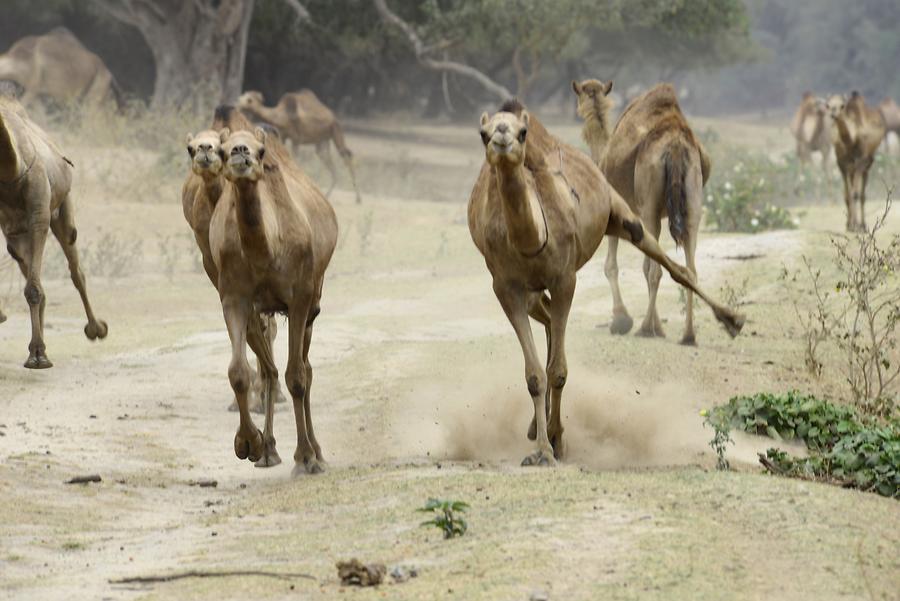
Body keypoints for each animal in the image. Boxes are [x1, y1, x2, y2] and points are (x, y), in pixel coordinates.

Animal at [0, 96, 107, 368]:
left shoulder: (40, 215)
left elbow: (33, 288)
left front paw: (38, 356)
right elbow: (33, 286)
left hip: (63, 208)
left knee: (76, 270)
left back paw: (96, 329)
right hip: (16, 236)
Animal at [207, 118, 338, 474]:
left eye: (261, 151)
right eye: (222, 150)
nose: (240, 152)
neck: (268, 251)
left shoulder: (300, 297)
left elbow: (297, 377)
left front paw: (305, 458)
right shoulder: (233, 298)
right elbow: (238, 372)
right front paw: (249, 443)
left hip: (313, 302)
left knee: (305, 369)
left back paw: (317, 452)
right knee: (269, 371)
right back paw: (268, 451)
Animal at [576, 81, 712, 342]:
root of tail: (676, 146)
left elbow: (612, 266)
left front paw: (622, 320)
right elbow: (644, 265)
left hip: (650, 206)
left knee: (656, 271)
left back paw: (646, 328)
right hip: (692, 201)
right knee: (690, 269)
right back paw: (688, 335)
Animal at [824, 92, 884, 231]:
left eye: (842, 105)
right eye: (828, 105)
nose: (833, 114)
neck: (851, 143)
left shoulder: (861, 162)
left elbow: (855, 194)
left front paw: (857, 226)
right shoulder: (841, 164)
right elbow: (847, 195)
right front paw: (849, 225)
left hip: (867, 165)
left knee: (862, 195)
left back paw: (863, 225)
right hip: (851, 169)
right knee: (852, 191)